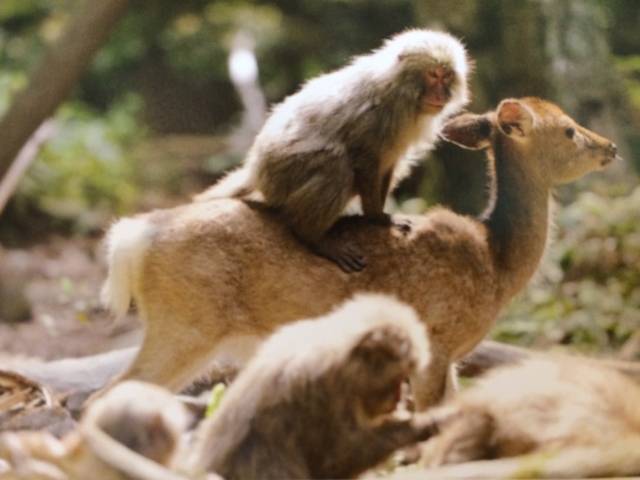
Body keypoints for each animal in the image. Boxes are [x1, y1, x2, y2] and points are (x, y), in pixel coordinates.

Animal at [101, 97, 620, 408]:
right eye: (569, 130)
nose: (611, 147)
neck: (496, 260)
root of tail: (132, 238)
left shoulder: (449, 357)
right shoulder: (436, 342)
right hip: (186, 324)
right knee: (105, 395)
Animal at [195, 28, 470, 272]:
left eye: (447, 76)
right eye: (433, 75)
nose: (441, 92)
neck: (403, 94)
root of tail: (257, 170)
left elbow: (388, 163)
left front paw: (378, 214)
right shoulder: (380, 114)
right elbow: (364, 157)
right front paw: (376, 217)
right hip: (282, 175)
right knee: (336, 164)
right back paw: (312, 236)